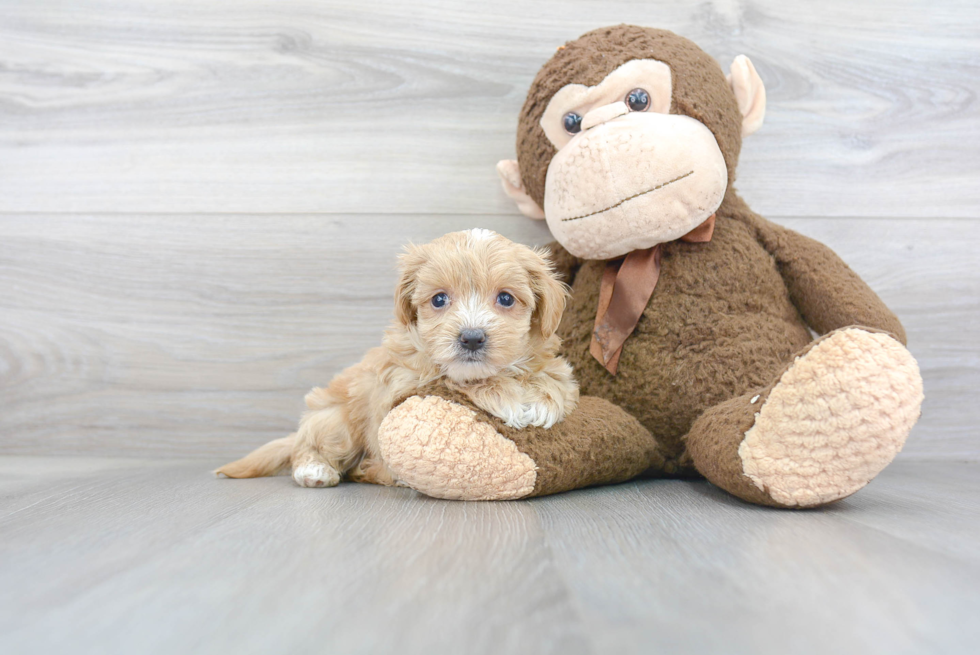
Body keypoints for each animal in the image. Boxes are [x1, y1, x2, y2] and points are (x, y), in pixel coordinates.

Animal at [216, 228, 576, 490]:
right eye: (439, 299)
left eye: (505, 298)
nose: (472, 338)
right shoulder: (405, 382)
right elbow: (455, 380)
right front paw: (508, 397)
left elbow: (556, 375)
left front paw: (543, 397)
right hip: (336, 421)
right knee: (310, 446)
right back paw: (315, 469)